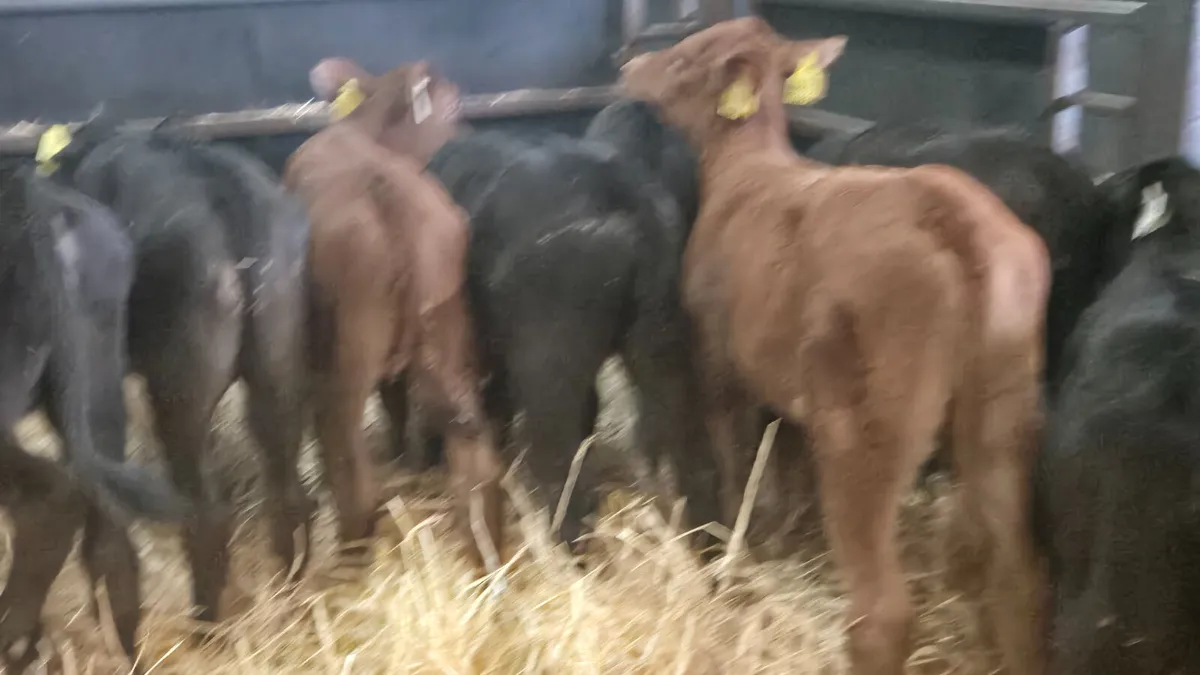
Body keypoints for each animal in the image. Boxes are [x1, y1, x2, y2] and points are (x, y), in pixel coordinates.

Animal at [41, 123, 314, 625]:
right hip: (279, 362)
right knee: (287, 486)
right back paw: (291, 596)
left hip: (179, 388)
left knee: (204, 511)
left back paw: (205, 622)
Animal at [285, 62, 503, 570]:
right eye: (454, 106)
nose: (467, 135)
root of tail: (386, 194)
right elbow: (398, 403)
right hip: (446, 331)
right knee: (475, 453)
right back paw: (486, 557)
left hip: (348, 355)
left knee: (349, 461)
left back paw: (348, 559)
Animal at [621, 17, 1050, 675]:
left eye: (684, 59)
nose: (627, 70)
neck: (742, 173)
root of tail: (953, 219)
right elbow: (786, 464)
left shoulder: (721, 367)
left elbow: (733, 461)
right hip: (1003, 414)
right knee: (1018, 582)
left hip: (866, 426)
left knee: (883, 610)